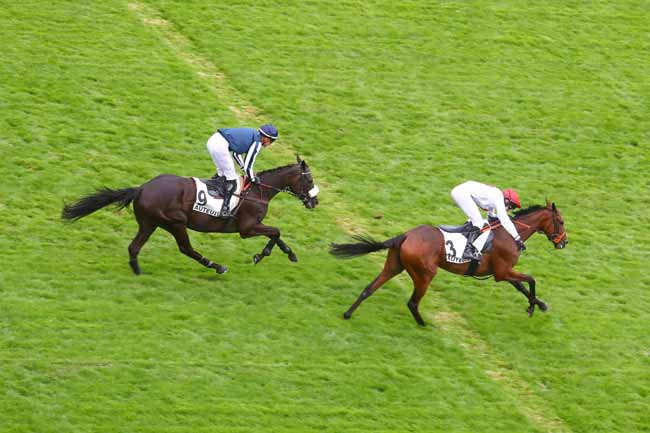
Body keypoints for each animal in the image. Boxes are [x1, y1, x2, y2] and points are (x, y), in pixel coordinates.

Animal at [62, 155, 320, 274]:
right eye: (309, 180)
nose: (314, 201)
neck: (258, 190)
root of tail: (142, 188)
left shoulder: (255, 224)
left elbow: (277, 234)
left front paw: (290, 253)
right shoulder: (246, 228)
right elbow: (276, 231)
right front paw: (261, 255)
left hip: (149, 223)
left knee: (134, 247)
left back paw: (137, 271)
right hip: (176, 222)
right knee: (186, 248)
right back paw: (216, 265)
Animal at [332, 201, 564, 326]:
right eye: (561, 222)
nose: (564, 242)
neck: (507, 233)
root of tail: (404, 236)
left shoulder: (504, 271)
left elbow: (522, 286)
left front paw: (539, 304)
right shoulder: (502, 272)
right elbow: (531, 280)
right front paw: (533, 307)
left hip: (394, 266)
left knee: (368, 289)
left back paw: (348, 313)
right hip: (424, 274)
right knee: (412, 302)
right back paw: (423, 324)